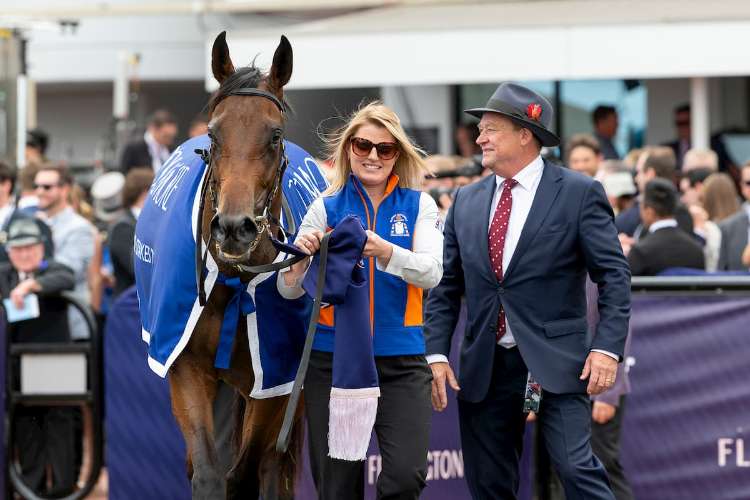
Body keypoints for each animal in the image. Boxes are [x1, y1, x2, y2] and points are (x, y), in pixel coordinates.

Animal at [154, 32, 312, 499]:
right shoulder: (185, 365)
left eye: (275, 135)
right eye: (213, 133)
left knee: (272, 466)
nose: (232, 228)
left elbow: (246, 472)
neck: (233, 282)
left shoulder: (276, 380)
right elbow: (208, 472)